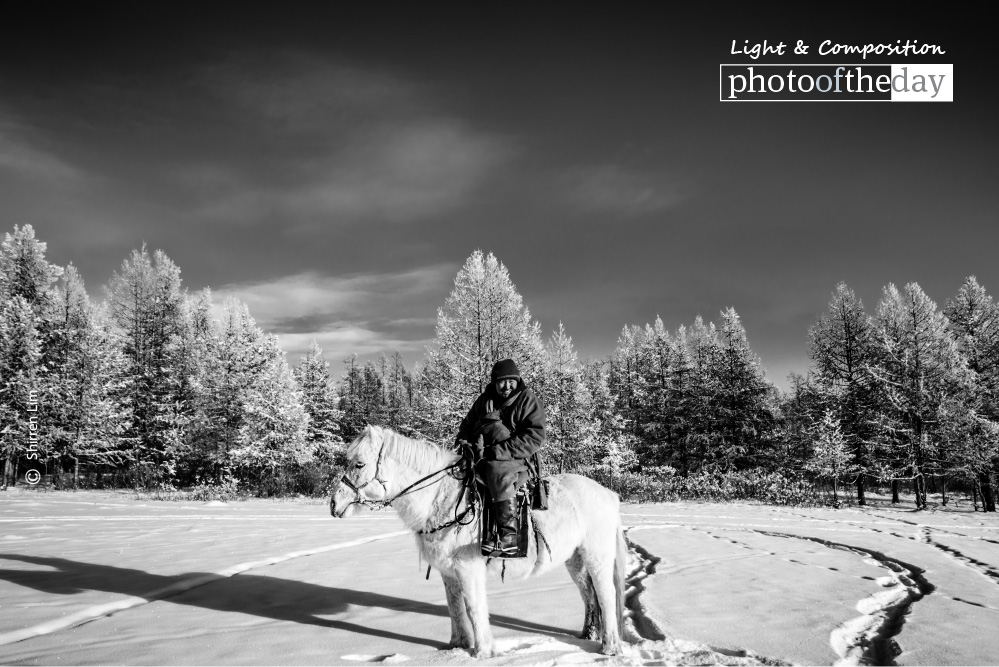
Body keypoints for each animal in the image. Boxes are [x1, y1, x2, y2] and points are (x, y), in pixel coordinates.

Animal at [332, 426, 628, 660]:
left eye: (359, 464)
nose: (334, 504)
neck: (444, 500)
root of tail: (609, 494)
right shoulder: (448, 573)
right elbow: (455, 608)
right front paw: (457, 646)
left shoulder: (468, 569)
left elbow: (474, 608)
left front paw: (484, 652)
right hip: (575, 560)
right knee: (589, 595)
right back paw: (587, 635)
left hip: (597, 556)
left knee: (606, 594)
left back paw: (611, 648)